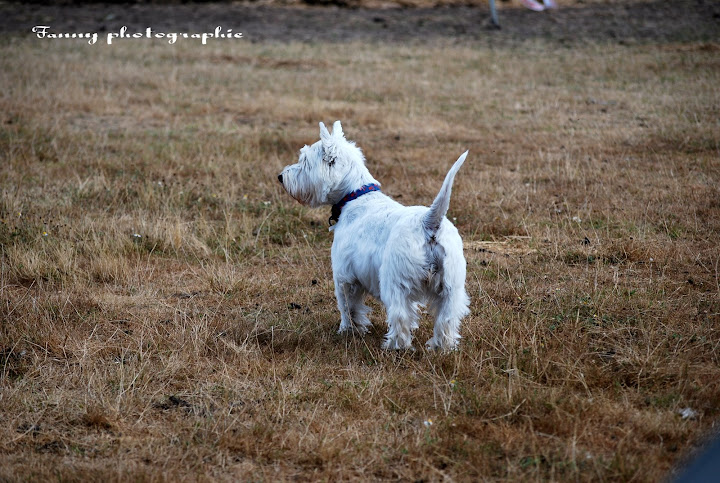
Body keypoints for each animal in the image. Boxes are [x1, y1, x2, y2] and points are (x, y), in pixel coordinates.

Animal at [278, 120, 470, 348]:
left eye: (305, 161)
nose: (280, 177)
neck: (355, 196)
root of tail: (429, 222)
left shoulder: (344, 275)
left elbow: (348, 307)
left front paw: (348, 331)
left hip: (396, 283)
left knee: (400, 316)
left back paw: (394, 346)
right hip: (451, 288)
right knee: (446, 319)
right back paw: (441, 348)